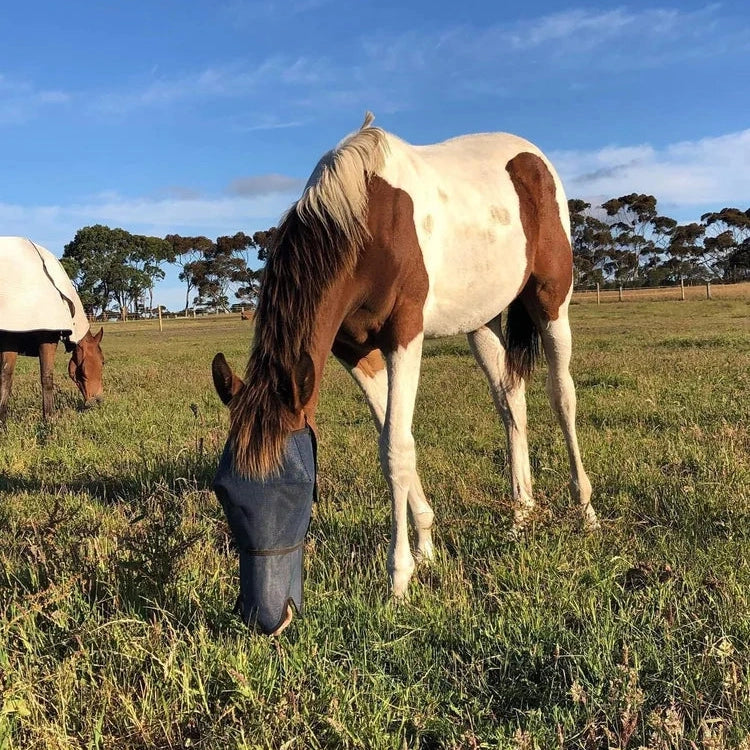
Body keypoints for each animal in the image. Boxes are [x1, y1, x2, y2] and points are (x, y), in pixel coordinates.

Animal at [0, 237, 104, 421]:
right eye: (102, 361)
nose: (98, 400)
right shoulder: (47, 337)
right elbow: (47, 378)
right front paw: (49, 419)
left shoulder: (11, 339)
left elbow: (6, 378)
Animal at [211, 113, 598, 635]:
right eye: (225, 491)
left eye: (298, 492)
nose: (268, 620)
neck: (362, 223)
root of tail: (534, 158)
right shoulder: (354, 352)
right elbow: (393, 440)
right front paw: (428, 548)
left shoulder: (405, 335)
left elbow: (396, 449)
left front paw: (398, 580)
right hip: (481, 322)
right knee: (510, 400)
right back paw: (520, 513)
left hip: (551, 301)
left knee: (563, 397)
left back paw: (585, 512)